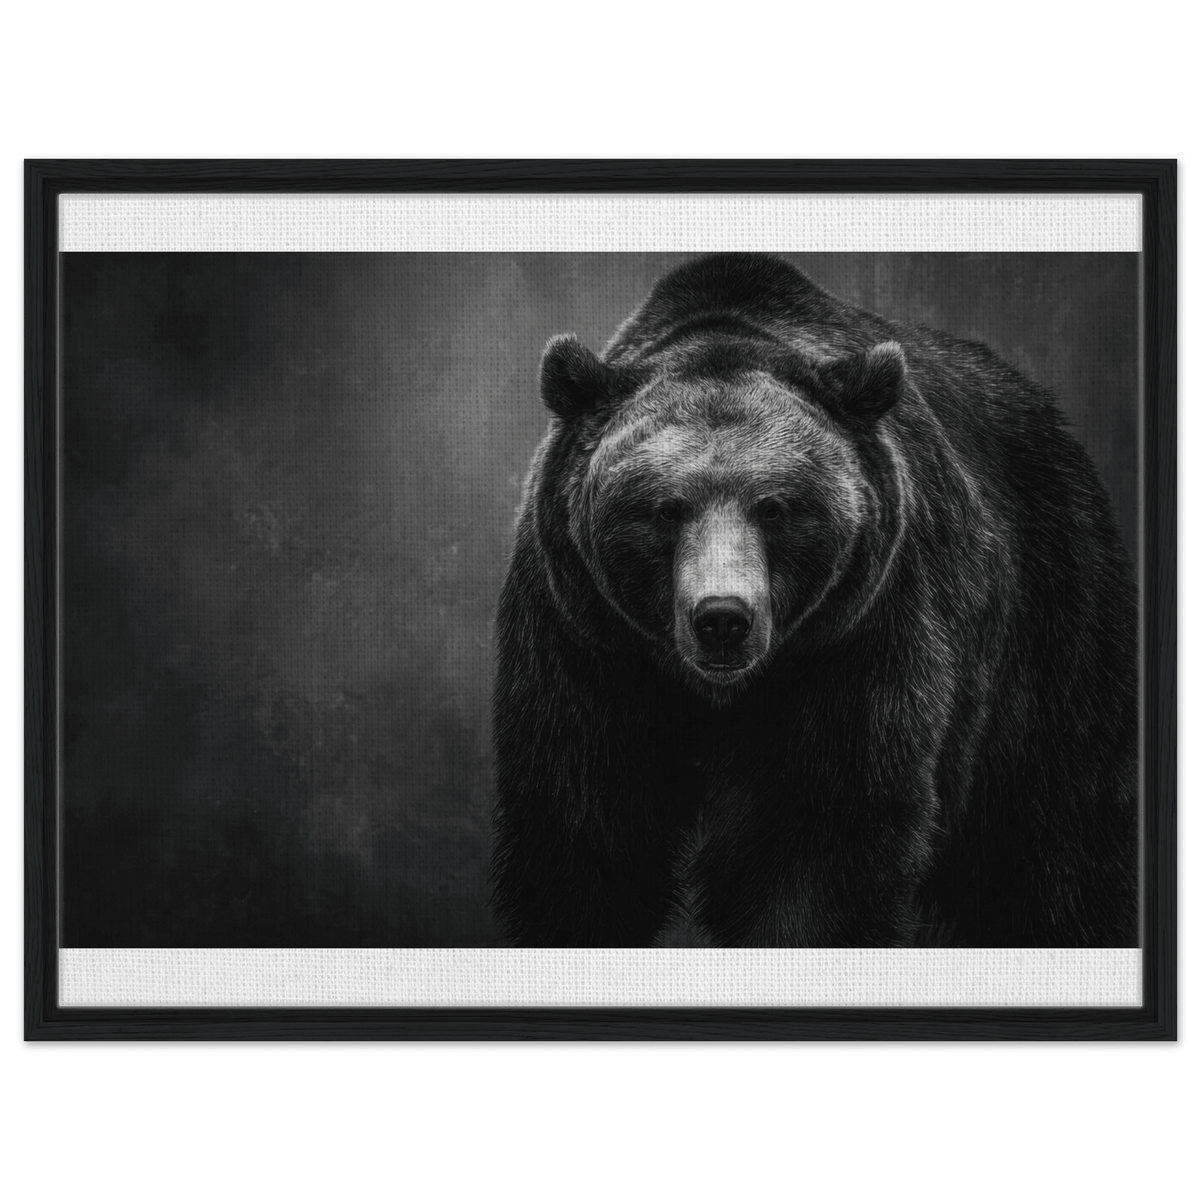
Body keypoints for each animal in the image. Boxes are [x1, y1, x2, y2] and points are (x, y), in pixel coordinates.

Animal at [490, 253, 1138, 949]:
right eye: (665, 509)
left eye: (775, 507)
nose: (723, 620)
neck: (720, 694)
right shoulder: (586, 642)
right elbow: (584, 833)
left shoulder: (859, 638)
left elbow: (822, 843)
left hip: (1052, 621)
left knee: (1056, 840)